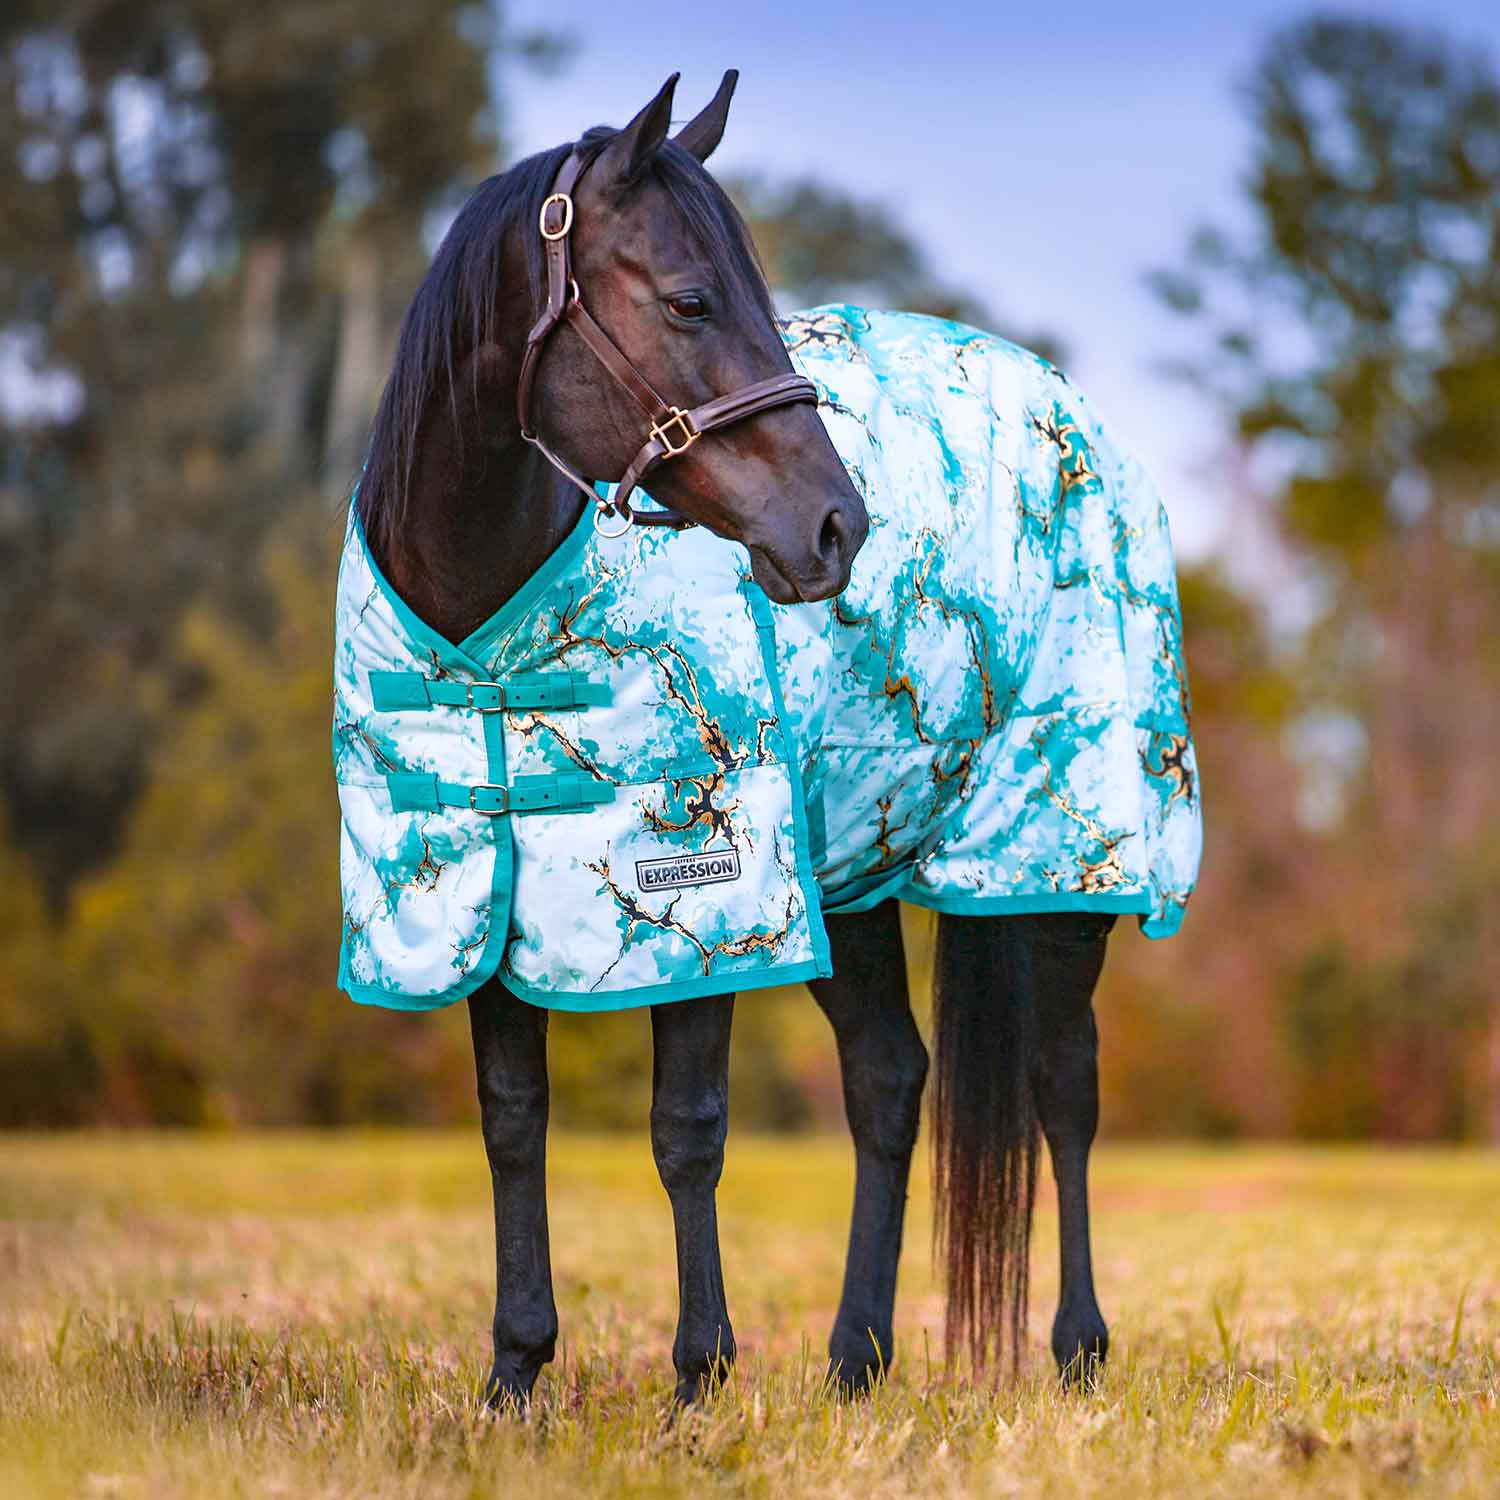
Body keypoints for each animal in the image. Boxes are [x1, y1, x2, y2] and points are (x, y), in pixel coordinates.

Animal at [340, 71, 1200, 1407]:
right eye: (690, 299)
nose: (838, 526)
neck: (485, 630)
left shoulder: (700, 888)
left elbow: (685, 1131)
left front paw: (699, 1377)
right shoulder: (489, 892)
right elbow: (512, 1118)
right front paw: (515, 1373)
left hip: (1058, 868)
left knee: (1065, 1085)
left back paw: (1076, 1348)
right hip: (855, 870)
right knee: (891, 1081)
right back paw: (856, 1360)